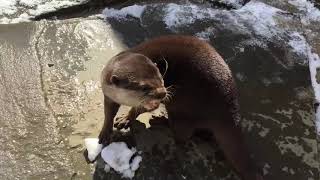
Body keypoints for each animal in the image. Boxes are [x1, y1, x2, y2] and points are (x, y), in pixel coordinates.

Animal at [98, 35, 262, 180]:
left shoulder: (153, 103)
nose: (163, 93)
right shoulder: (108, 93)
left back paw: (159, 120)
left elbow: (139, 109)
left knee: (182, 134)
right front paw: (105, 132)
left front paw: (126, 118)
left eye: (161, 78)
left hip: (183, 107)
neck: (125, 99)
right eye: (144, 87)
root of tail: (230, 105)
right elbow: (108, 113)